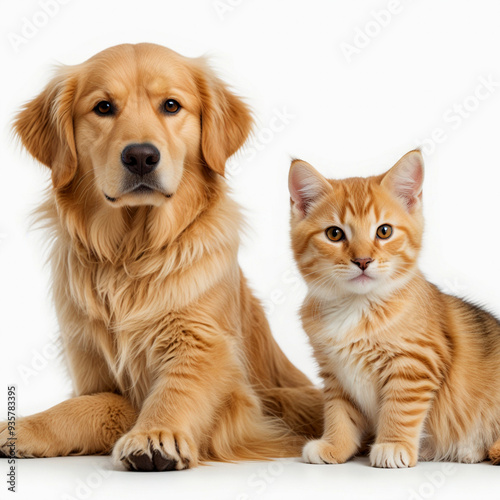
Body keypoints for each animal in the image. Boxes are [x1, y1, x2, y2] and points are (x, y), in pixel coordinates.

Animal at [1, 44, 322, 472]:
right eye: (103, 107)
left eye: (171, 105)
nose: (140, 156)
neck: (131, 254)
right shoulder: (91, 368)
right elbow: (94, 404)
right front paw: (22, 428)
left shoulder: (211, 354)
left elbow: (177, 389)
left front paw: (156, 434)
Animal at [288, 150, 500, 466]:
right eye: (335, 234)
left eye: (384, 231)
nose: (362, 260)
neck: (357, 306)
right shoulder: (335, 375)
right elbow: (340, 413)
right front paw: (336, 445)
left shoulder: (415, 364)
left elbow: (399, 409)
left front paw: (393, 445)